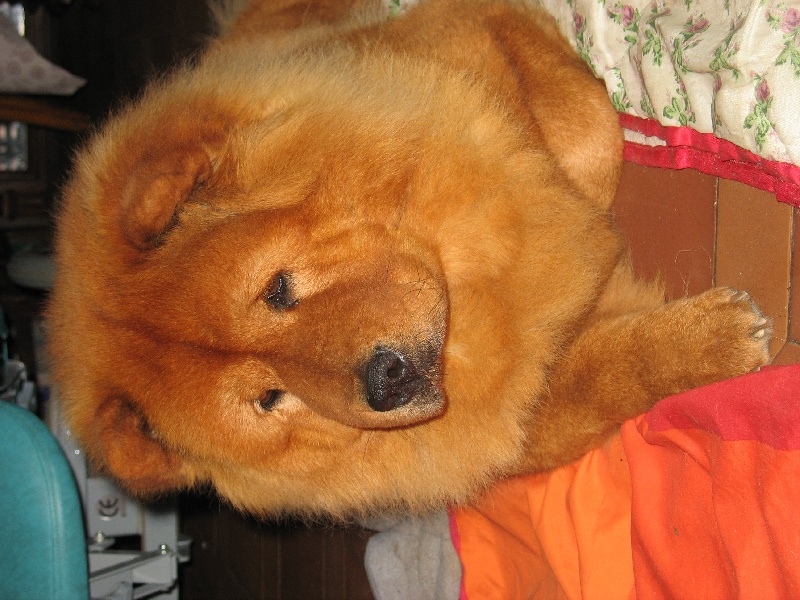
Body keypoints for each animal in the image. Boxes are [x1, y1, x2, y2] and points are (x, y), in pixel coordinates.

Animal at [47, 0, 771, 519]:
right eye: (268, 399)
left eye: (278, 289)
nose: (384, 379)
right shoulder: (519, 426)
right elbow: (608, 368)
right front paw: (720, 337)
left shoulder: (482, 32)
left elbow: (583, 131)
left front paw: (582, 196)